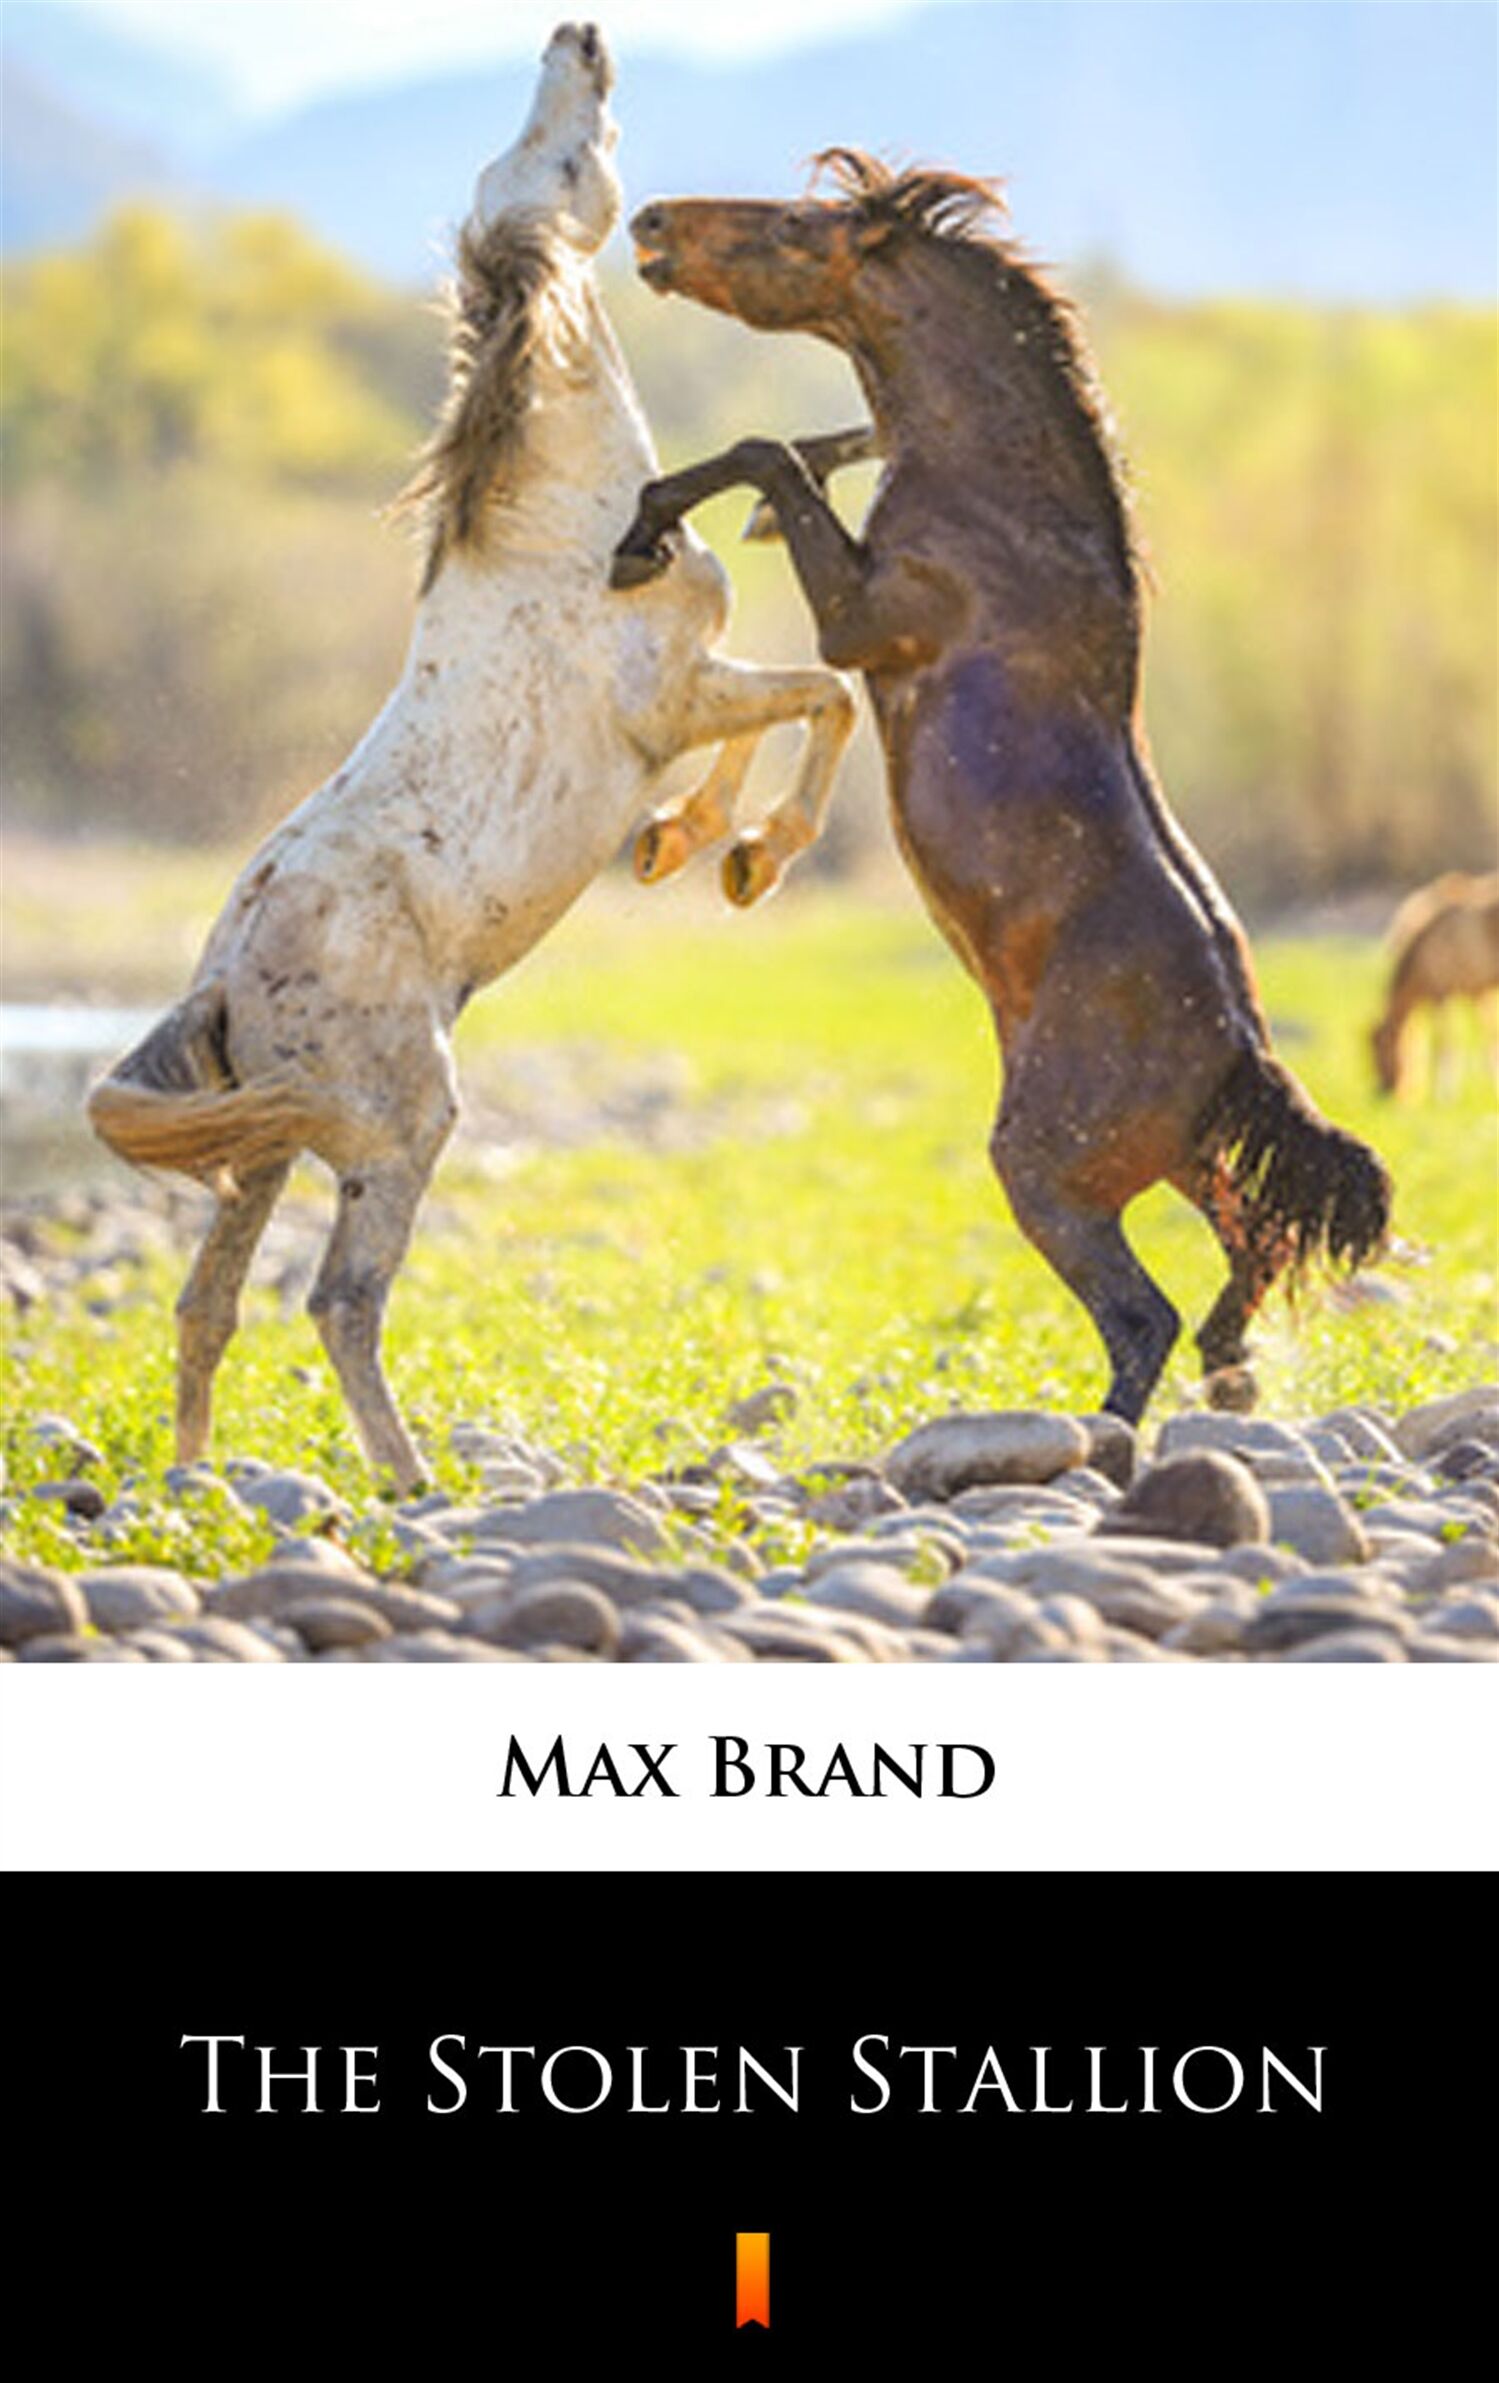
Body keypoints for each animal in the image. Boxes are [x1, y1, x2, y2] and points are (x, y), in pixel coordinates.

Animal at [86, 24, 855, 1491]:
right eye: (552, 163)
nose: (577, 34)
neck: (572, 526)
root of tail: (220, 977)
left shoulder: (695, 698)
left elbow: (784, 715)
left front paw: (684, 845)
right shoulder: (677, 699)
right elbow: (828, 696)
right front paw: (745, 857)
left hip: (262, 1143)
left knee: (209, 1302)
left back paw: (195, 1477)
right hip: (404, 1121)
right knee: (337, 1299)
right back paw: (406, 1478)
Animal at [610, 149, 1392, 1423]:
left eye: (793, 228)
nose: (651, 220)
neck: (1000, 498)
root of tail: (1234, 1049)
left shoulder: (862, 620)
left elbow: (766, 449)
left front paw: (646, 537)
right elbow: (798, 449)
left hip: (1043, 1167)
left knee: (1141, 1317)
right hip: (1186, 1164)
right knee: (1248, 1259)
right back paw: (1225, 1373)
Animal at [1371, 871, 1499, 1097]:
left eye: (1380, 1050)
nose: (1382, 1092)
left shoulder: (1442, 995)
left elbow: (1444, 1041)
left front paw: (1444, 1093)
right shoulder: (1477, 993)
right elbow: (1488, 1036)